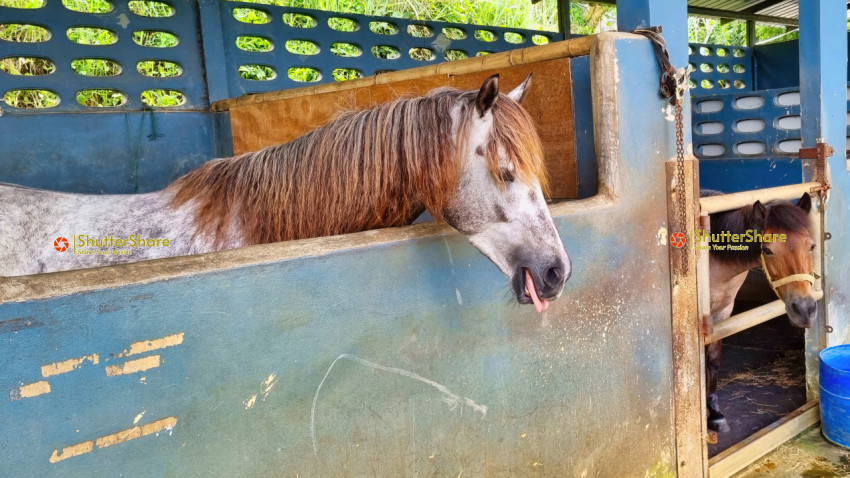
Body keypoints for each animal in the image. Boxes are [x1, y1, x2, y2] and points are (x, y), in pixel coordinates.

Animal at [701, 190, 817, 433]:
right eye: (767, 250)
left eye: (811, 246)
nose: (805, 310)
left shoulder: (723, 312)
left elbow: (713, 360)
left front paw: (715, 414)